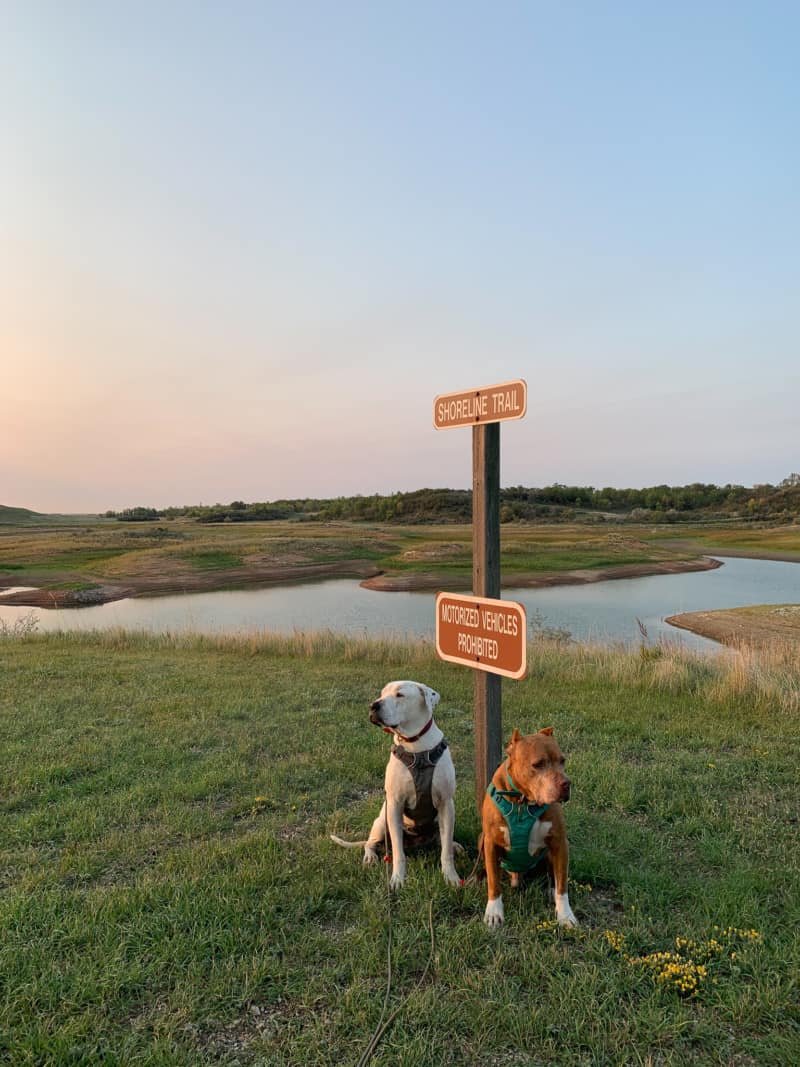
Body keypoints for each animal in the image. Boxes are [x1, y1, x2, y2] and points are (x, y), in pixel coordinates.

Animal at [328, 678, 460, 887]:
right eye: (382, 694)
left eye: (400, 694)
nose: (373, 705)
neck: (416, 746)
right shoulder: (395, 805)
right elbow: (398, 853)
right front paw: (398, 879)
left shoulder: (446, 804)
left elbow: (445, 851)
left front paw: (451, 876)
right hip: (382, 822)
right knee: (370, 843)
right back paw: (370, 857)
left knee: (441, 840)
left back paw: (454, 844)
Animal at [482, 725, 576, 926]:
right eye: (538, 764)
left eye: (562, 760)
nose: (566, 784)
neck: (523, 802)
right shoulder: (491, 842)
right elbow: (493, 881)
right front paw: (494, 911)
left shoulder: (560, 843)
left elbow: (562, 885)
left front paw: (565, 915)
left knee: (553, 875)